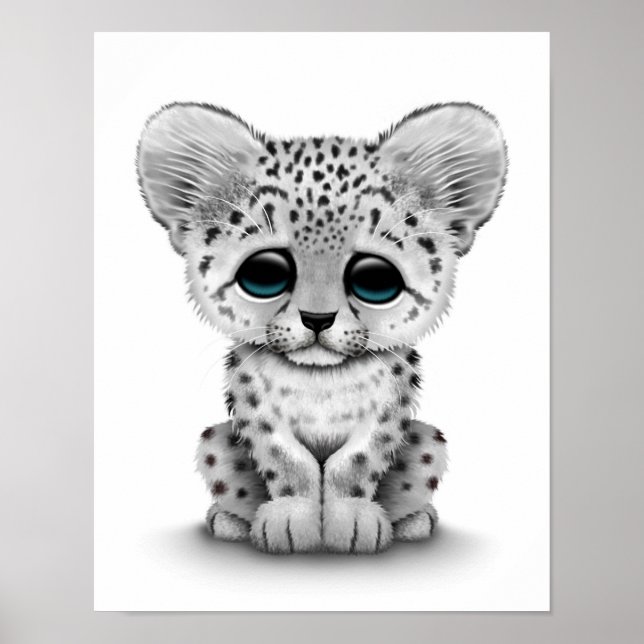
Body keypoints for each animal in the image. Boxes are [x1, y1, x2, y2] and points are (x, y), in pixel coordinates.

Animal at [136, 101, 507, 554]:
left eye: (375, 279)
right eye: (263, 273)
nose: (317, 319)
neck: (320, 381)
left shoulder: (387, 414)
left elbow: (356, 464)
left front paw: (351, 519)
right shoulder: (256, 412)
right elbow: (287, 461)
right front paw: (291, 518)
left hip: (429, 441)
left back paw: (414, 521)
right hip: (215, 442)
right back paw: (229, 521)